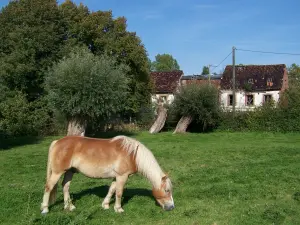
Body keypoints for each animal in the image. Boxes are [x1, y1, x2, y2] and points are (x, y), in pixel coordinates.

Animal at [41, 134, 175, 214]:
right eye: (167, 190)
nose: (171, 207)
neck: (132, 154)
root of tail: (57, 142)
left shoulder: (116, 177)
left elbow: (111, 190)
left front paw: (105, 205)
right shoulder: (122, 176)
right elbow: (119, 193)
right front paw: (118, 208)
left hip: (70, 171)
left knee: (65, 186)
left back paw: (69, 207)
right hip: (57, 173)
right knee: (49, 187)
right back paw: (45, 209)